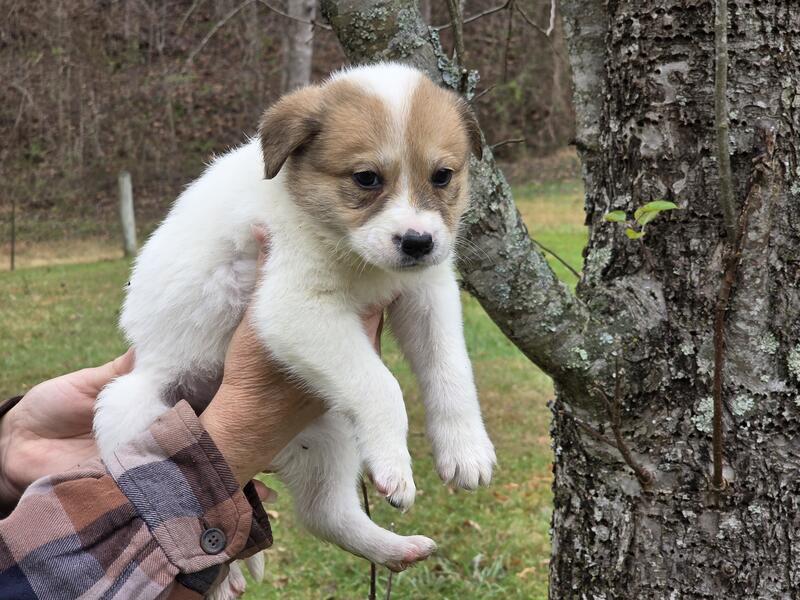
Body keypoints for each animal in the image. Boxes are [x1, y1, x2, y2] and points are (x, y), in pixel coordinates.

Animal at [94, 62, 496, 598]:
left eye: (443, 176)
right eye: (366, 179)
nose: (418, 242)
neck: (349, 251)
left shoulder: (427, 293)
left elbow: (450, 369)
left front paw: (465, 448)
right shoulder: (293, 307)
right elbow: (383, 385)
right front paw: (395, 463)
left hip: (328, 436)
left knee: (324, 514)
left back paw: (395, 549)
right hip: (134, 409)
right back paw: (224, 575)